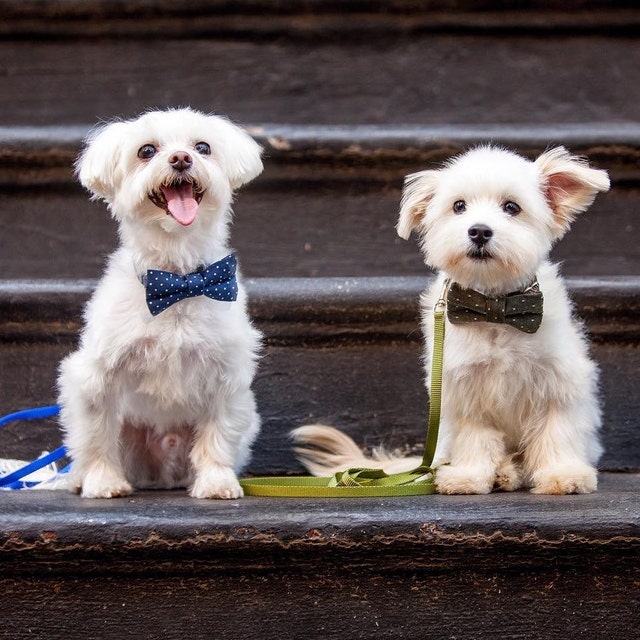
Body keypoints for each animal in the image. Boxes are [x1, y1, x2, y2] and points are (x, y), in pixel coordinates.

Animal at [57, 107, 262, 500]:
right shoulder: (95, 377)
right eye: (146, 151)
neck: (176, 280)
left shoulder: (227, 375)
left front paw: (216, 481)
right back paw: (78, 478)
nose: (181, 158)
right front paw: (103, 481)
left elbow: (218, 434)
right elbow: (97, 434)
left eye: (202, 147)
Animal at [296, 145, 608, 496]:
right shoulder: (464, 390)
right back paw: (501, 472)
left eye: (511, 207)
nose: (479, 231)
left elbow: (556, 432)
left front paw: (563, 474)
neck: (493, 306)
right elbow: (475, 439)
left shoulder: (558, 383)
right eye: (459, 206)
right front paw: (469, 476)